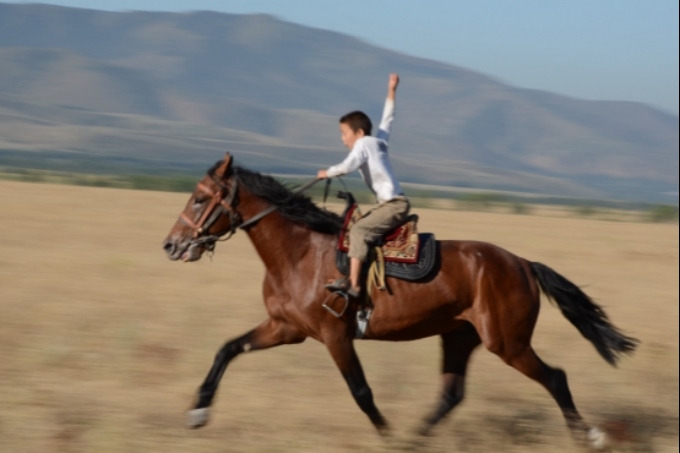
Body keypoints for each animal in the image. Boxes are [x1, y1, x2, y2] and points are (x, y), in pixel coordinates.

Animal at [163, 153, 636, 448]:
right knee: (452, 394)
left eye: (200, 199)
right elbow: (226, 350)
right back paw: (414, 441)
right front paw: (197, 412)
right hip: (459, 337)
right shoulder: (287, 329)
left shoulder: (335, 336)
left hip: (508, 343)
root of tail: (522, 263)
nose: (171, 245)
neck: (299, 252)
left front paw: (387, 438)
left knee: (555, 378)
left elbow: (361, 392)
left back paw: (589, 437)